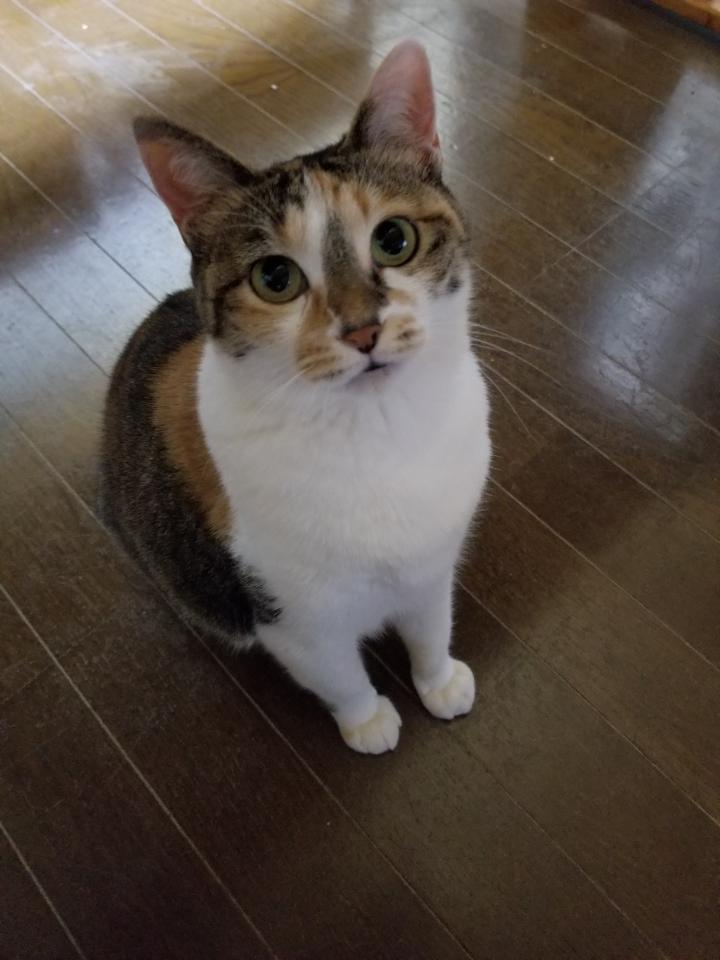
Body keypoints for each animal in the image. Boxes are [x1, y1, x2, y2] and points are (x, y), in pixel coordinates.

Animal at [101, 40, 491, 754]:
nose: (362, 328)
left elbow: (430, 623)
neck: (378, 432)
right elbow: (337, 673)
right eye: (275, 278)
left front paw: (438, 679)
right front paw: (367, 721)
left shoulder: (433, 563)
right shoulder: (294, 620)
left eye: (394, 240)